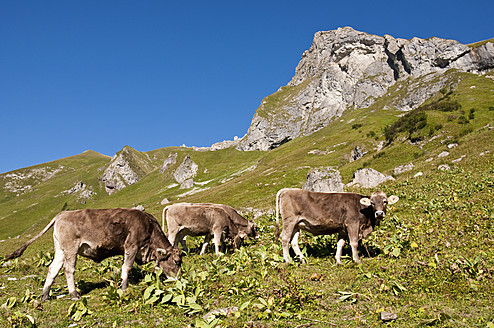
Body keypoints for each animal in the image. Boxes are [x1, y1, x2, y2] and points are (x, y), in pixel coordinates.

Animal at [4, 209, 181, 302]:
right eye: (177, 261)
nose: (178, 279)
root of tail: (62, 214)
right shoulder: (131, 246)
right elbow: (127, 267)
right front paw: (124, 287)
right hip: (71, 249)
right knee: (68, 270)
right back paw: (74, 294)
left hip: (60, 250)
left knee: (52, 269)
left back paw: (45, 295)